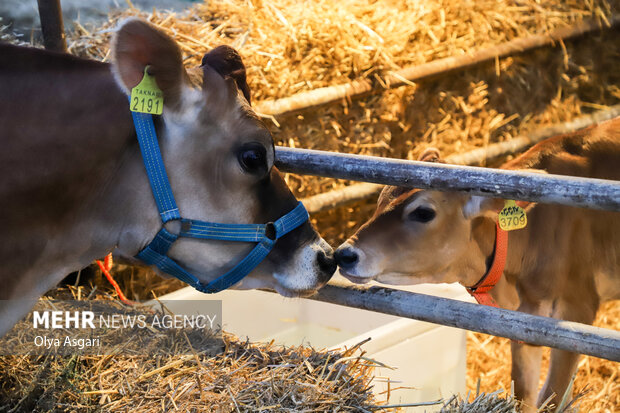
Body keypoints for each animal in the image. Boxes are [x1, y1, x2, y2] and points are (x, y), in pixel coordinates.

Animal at [334, 117, 620, 410]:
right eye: (381, 198)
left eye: (423, 212)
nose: (344, 254)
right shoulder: (523, 324)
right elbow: (524, 394)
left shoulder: (576, 312)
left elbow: (553, 398)